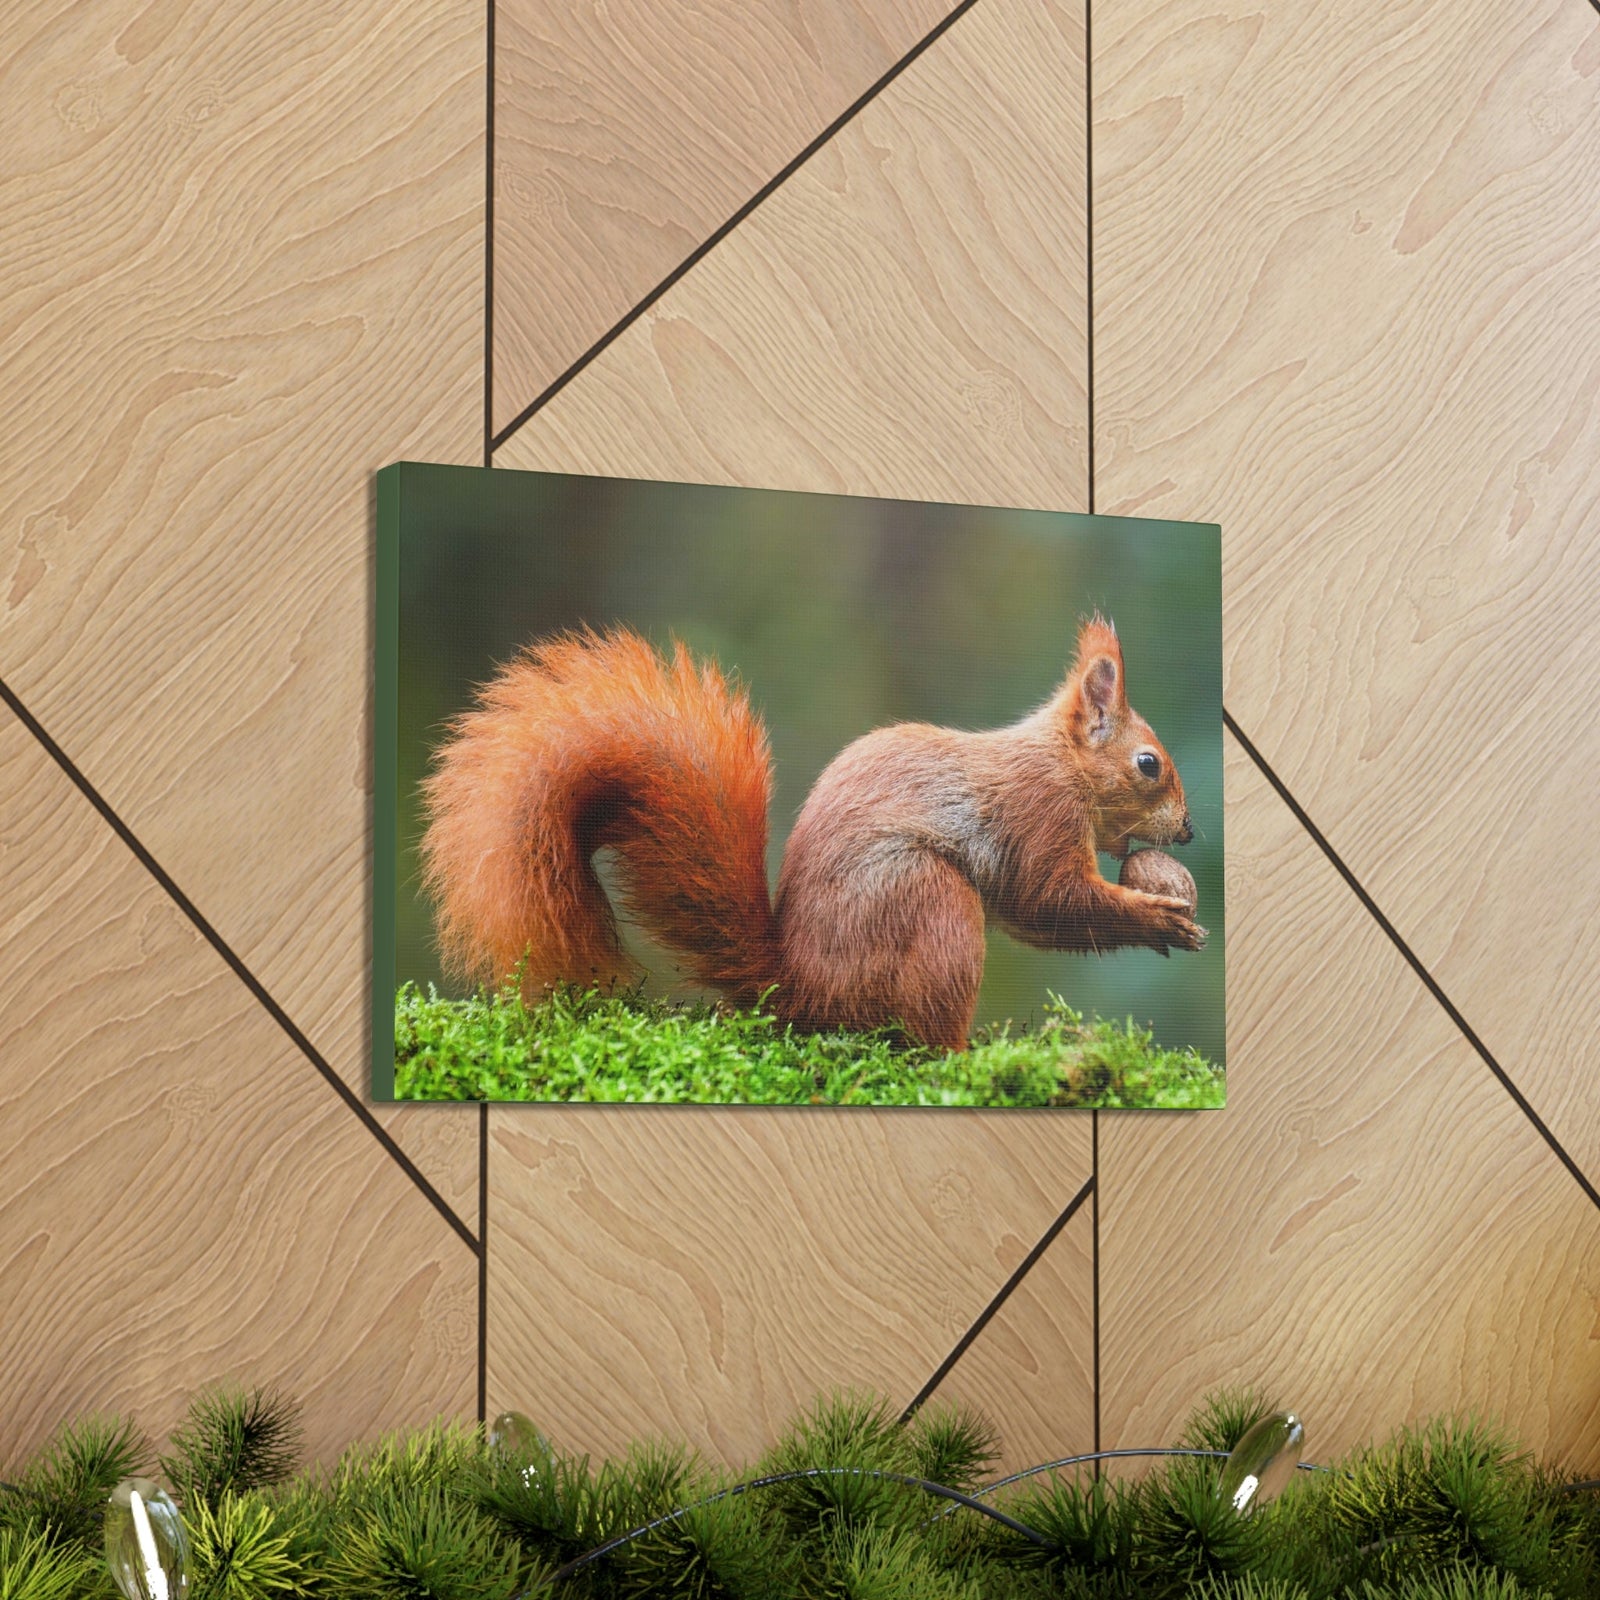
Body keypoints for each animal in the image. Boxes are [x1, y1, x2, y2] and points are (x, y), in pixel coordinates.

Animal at [418, 617, 1204, 1052]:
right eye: (1148, 764)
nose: (1192, 830)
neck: (1061, 765)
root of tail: (798, 988)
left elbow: (1035, 916)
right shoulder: (1038, 817)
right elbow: (1051, 901)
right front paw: (1158, 917)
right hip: (927, 902)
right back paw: (962, 1055)